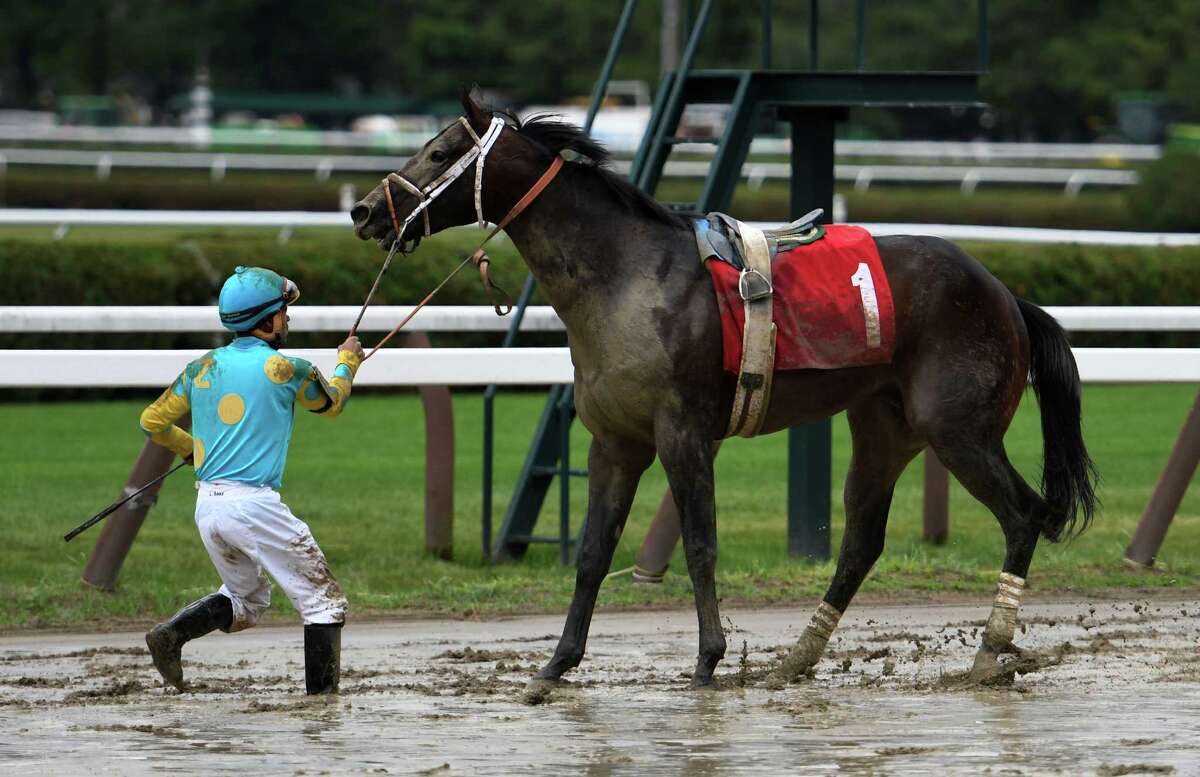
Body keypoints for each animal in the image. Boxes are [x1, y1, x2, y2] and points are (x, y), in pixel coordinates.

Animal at [350, 92, 1099, 690]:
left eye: (440, 149)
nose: (364, 210)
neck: (625, 277)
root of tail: (1004, 293)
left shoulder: (683, 433)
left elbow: (700, 543)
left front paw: (708, 658)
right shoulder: (614, 443)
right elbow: (592, 553)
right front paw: (557, 664)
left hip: (959, 429)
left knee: (1024, 514)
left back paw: (991, 649)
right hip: (885, 428)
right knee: (861, 542)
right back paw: (796, 658)